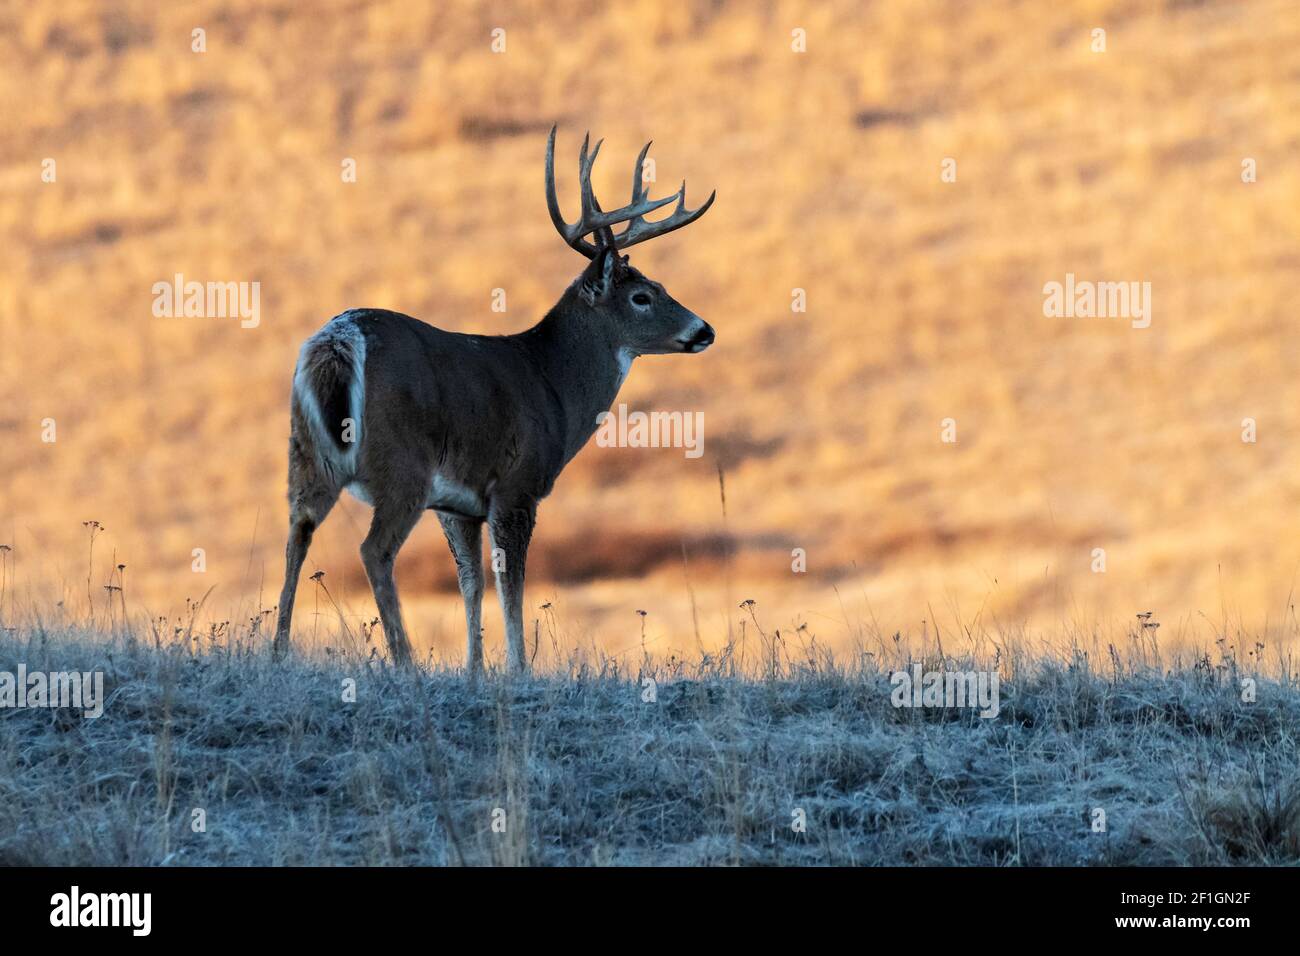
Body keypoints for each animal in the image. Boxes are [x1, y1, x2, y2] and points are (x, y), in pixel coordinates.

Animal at [271, 127, 715, 675]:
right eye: (643, 297)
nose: (704, 330)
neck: (551, 385)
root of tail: (337, 339)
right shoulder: (516, 486)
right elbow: (511, 585)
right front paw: (518, 668)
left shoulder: (457, 505)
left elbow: (471, 582)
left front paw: (475, 670)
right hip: (402, 463)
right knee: (373, 550)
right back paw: (405, 663)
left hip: (305, 450)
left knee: (298, 531)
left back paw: (277, 652)